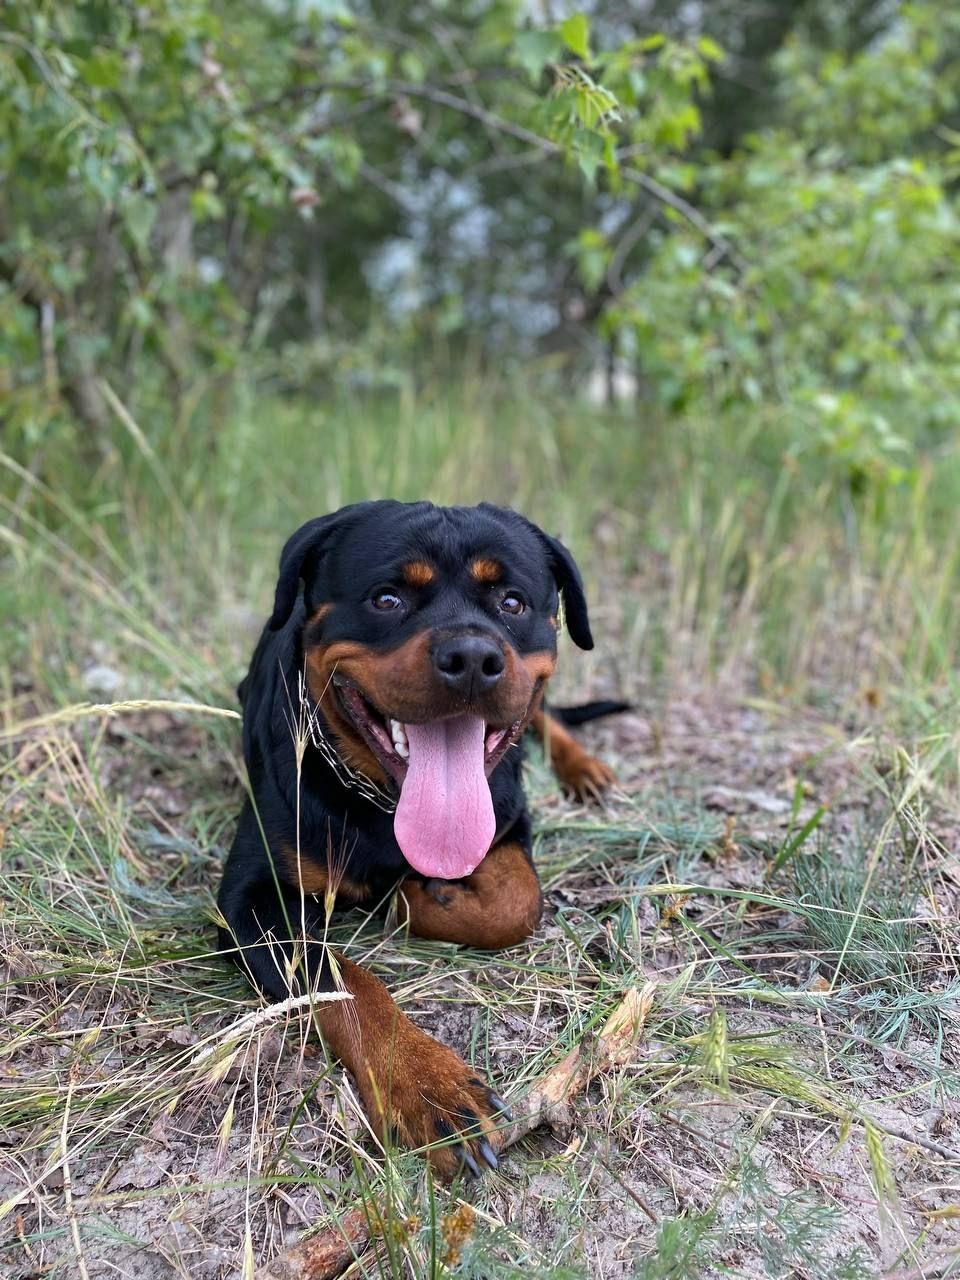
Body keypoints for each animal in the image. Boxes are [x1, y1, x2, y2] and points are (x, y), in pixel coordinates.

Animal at [217, 499, 624, 1177]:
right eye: (387, 598)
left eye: (512, 602)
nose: (471, 657)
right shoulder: (254, 901)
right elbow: (348, 986)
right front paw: (427, 1083)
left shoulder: (507, 821)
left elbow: (519, 902)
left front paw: (418, 897)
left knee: (547, 716)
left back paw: (585, 767)